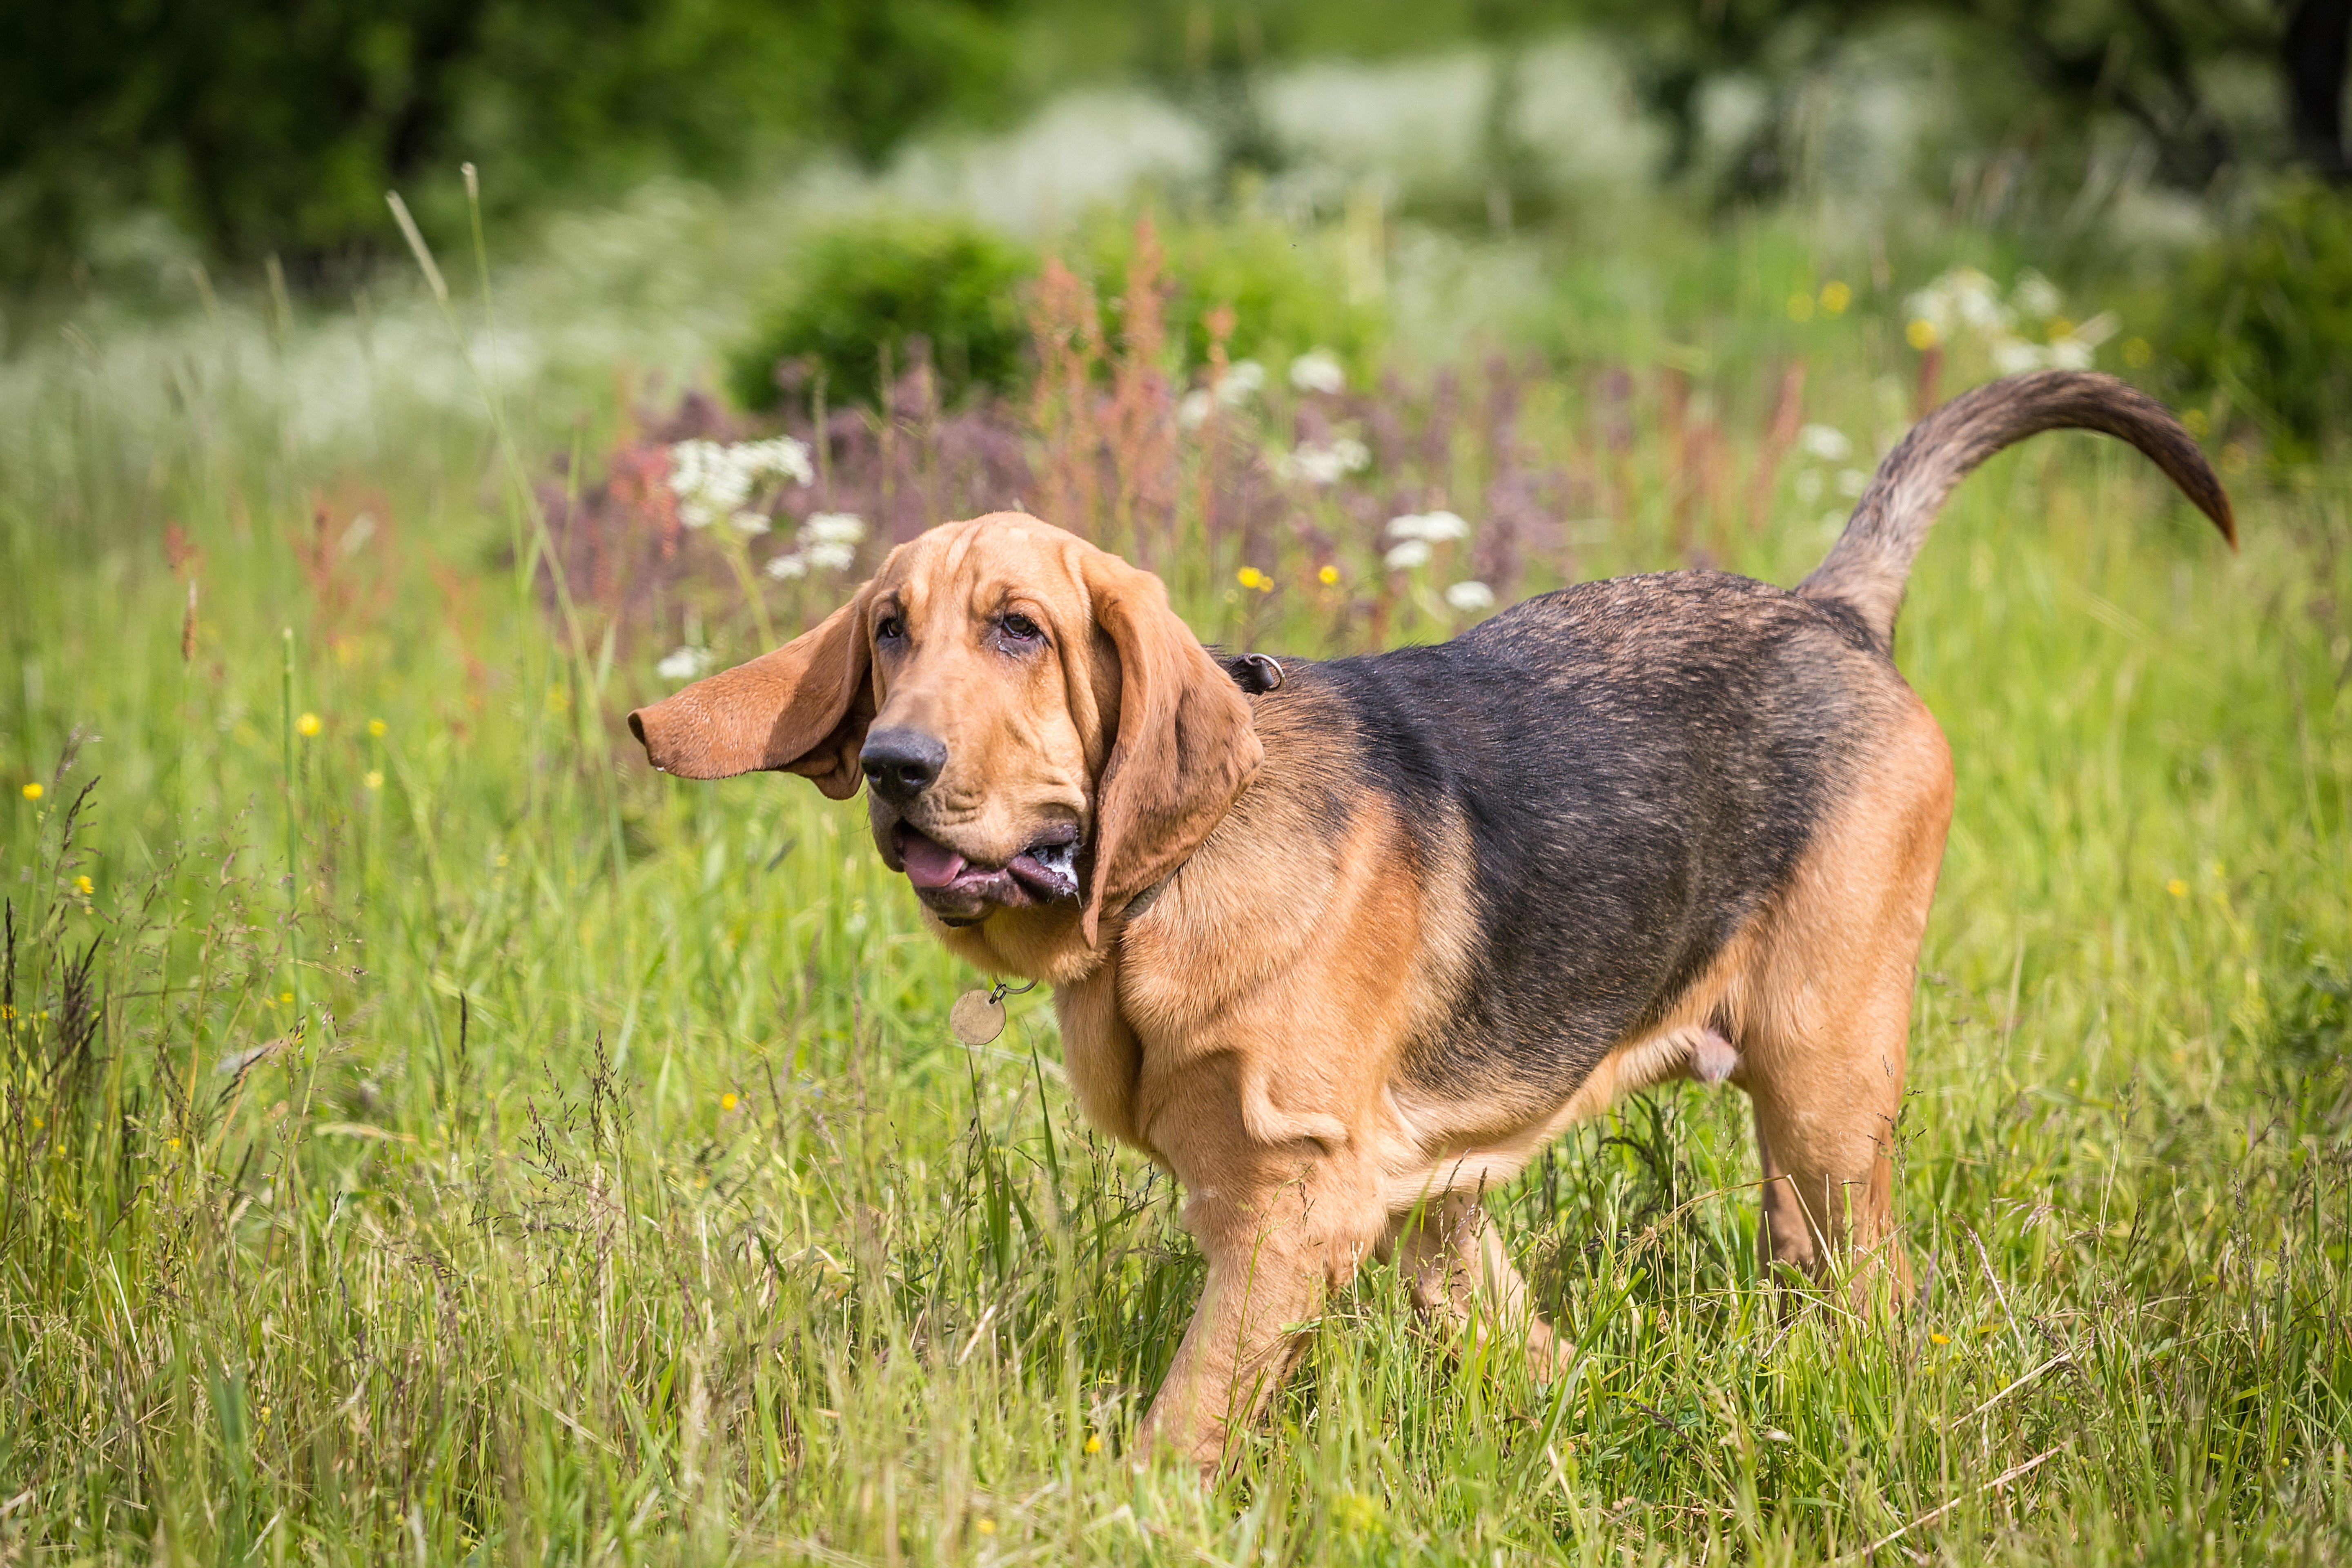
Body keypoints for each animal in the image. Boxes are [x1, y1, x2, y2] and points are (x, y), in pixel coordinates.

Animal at [635, 371, 2230, 1476]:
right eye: (888, 627)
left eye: (1019, 629)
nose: (893, 768)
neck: (1161, 885)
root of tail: (1832, 610)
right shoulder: (1355, 1189)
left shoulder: (1297, 1201)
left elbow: (1182, 1424)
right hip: (1601, 1164)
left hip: (1826, 1079)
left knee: (1870, 1285)